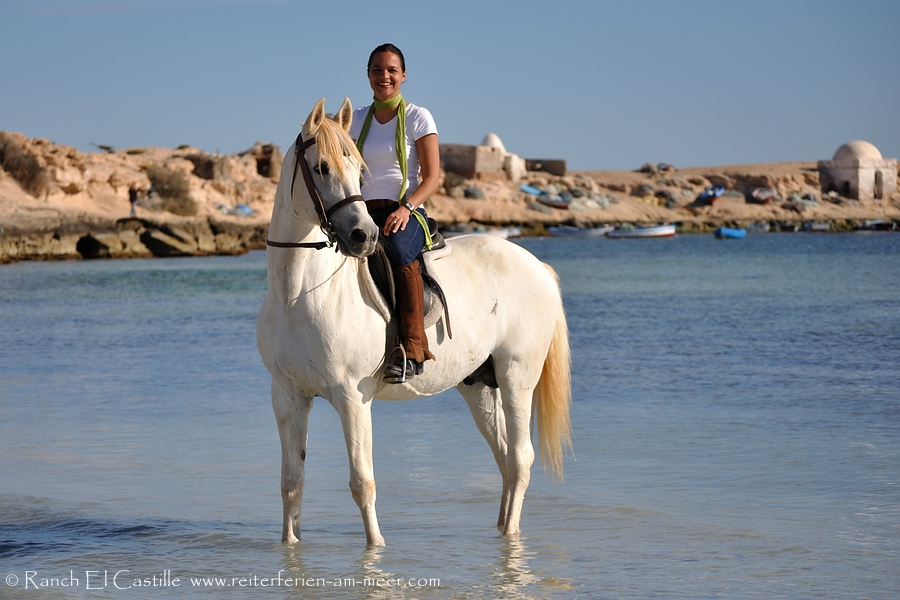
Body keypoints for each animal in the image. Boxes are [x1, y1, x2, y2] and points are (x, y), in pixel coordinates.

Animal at [256, 99, 572, 548]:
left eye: (358, 171)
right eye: (321, 167)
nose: (364, 236)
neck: (298, 294)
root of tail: (536, 265)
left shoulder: (351, 398)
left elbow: (362, 483)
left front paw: (376, 551)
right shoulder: (287, 397)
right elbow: (291, 482)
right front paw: (290, 547)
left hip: (517, 378)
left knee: (521, 458)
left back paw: (510, 535)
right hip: (479, 387)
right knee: (505, 458)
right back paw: (500, 529)